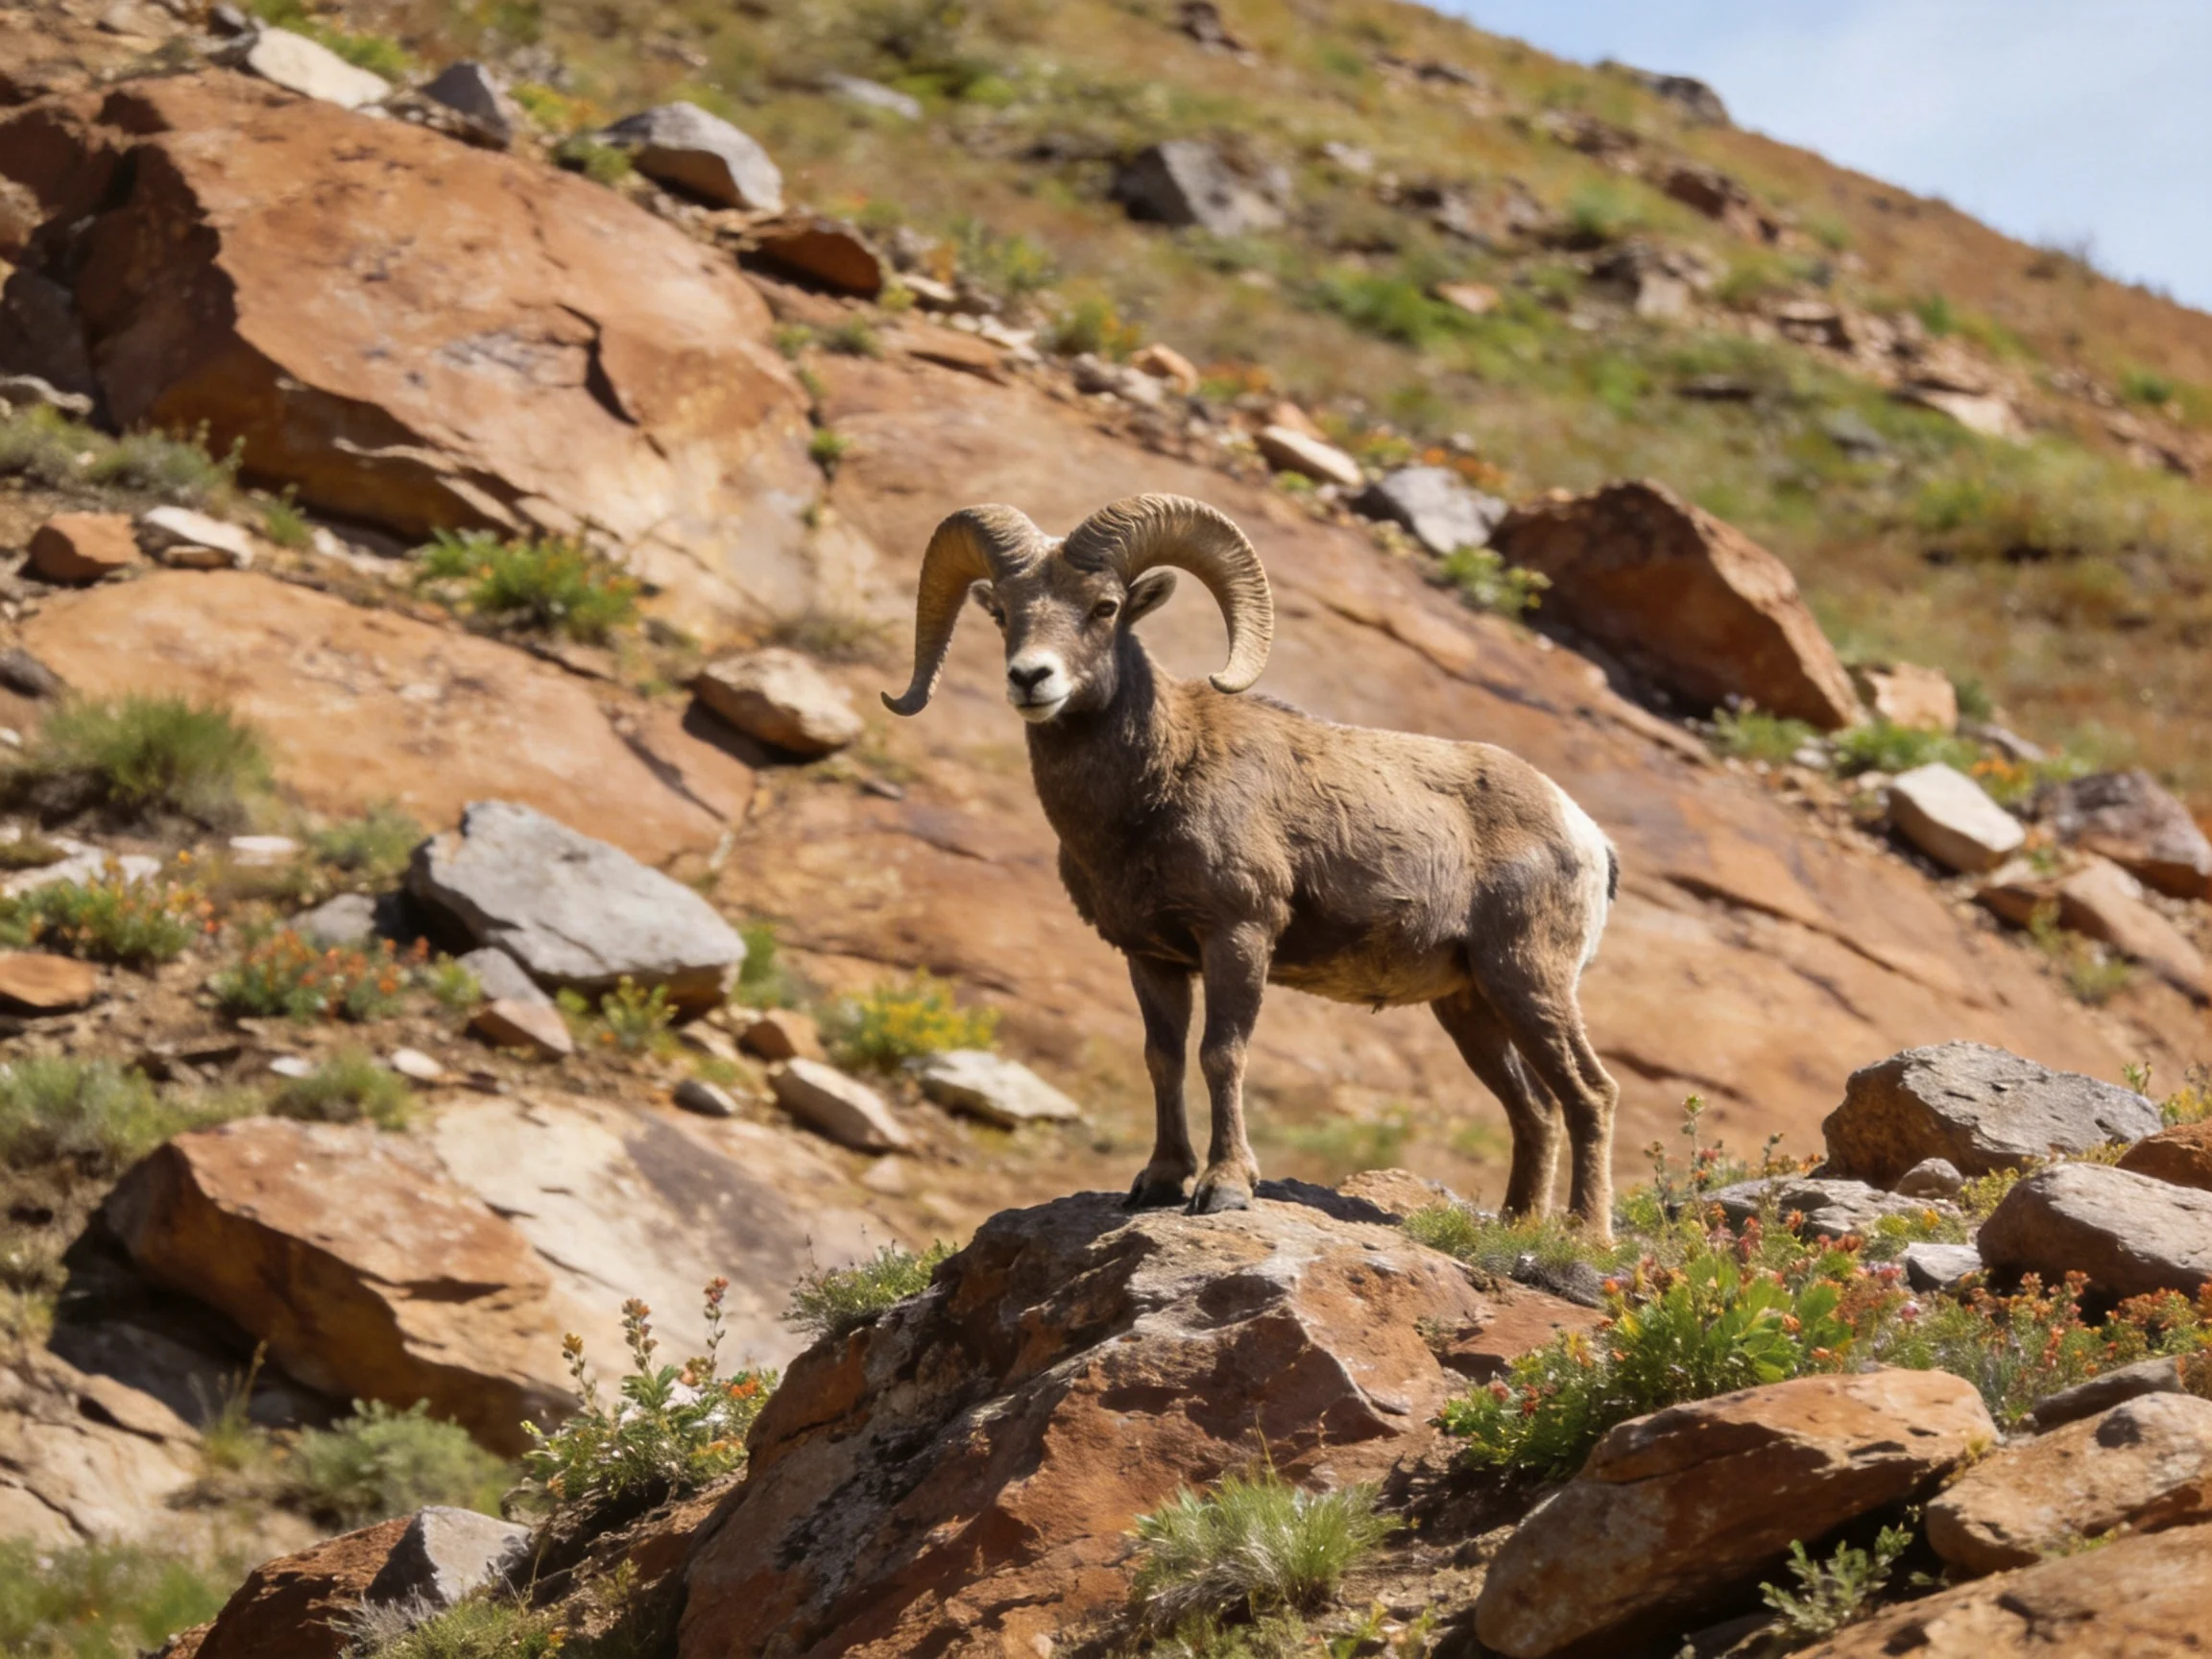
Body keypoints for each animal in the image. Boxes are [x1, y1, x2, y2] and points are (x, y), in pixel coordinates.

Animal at [883, 492, 1622, 1234]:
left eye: (1104, 607)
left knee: (1591, 1092)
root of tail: (1586, 833)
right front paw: (1160, 1181)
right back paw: (1518, 1226)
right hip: (1471, 1006)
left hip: (1527, 980)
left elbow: (1222, 1054)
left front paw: (1225, 1187)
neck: (1157, 785)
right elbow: (1163, 1059)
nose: (1031, 679)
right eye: (1003, 613)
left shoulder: (1238, 936)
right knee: (1536, 1109)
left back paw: (1586, 1235)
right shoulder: (1152, 958)